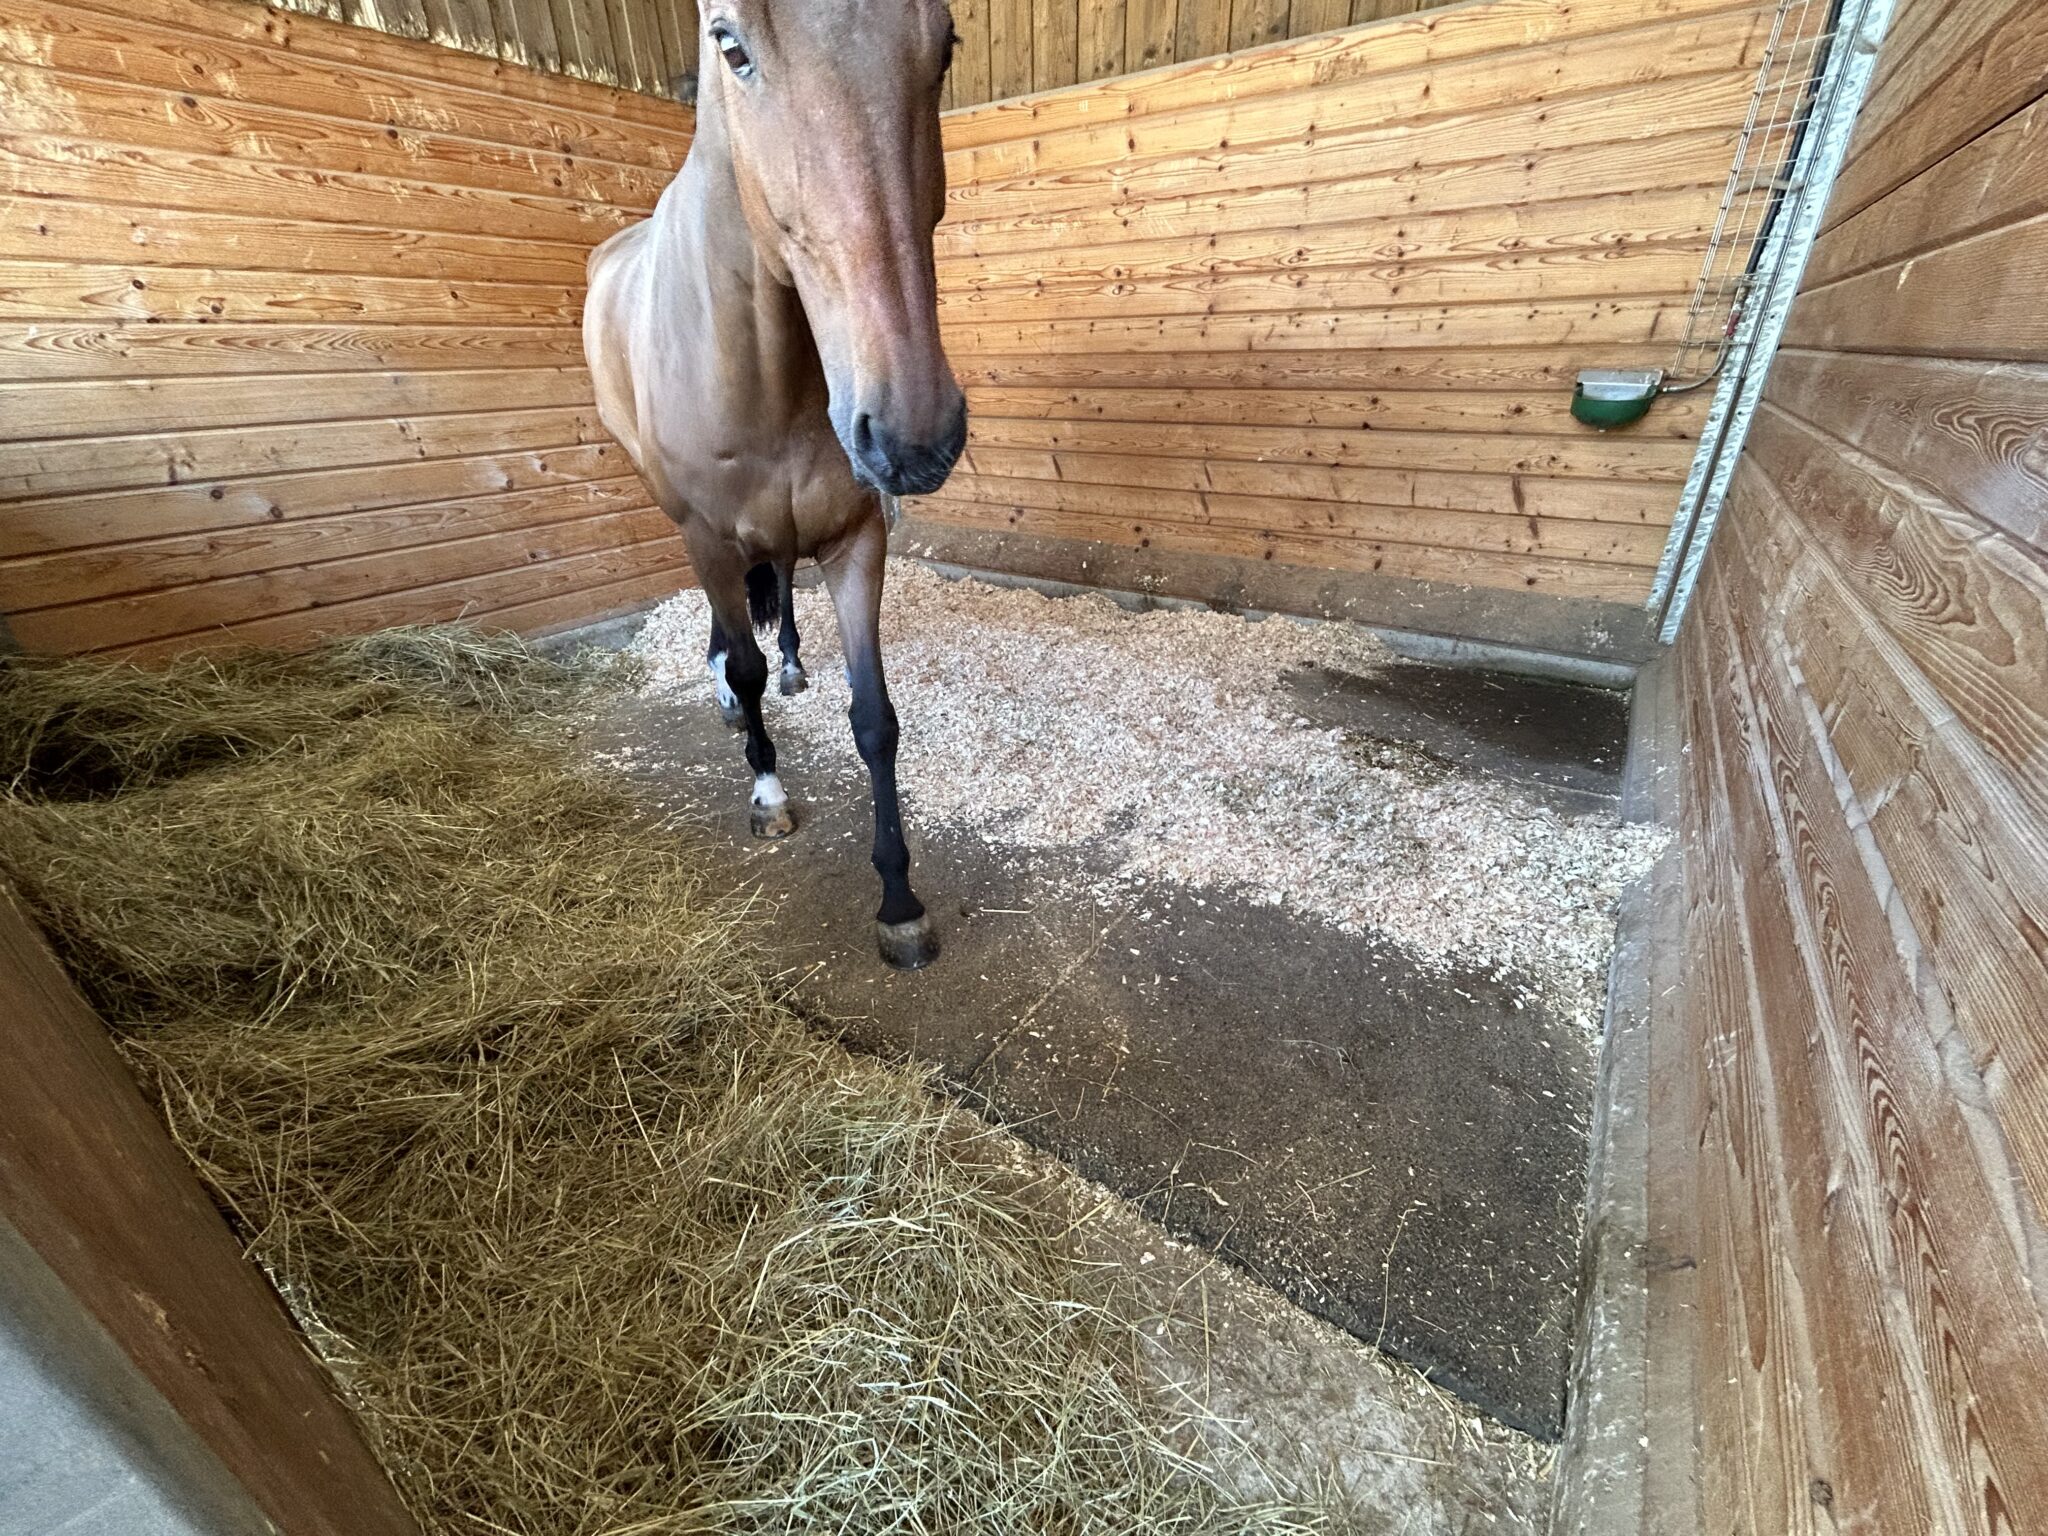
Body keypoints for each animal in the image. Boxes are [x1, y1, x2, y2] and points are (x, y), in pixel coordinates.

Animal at [584, 0, 966, 970]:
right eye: (730, 44)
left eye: (945, 42)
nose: (912, 434)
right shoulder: (710, 536)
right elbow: (745, 663)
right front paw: (766, 793)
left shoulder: (857, 539)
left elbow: (874, 718)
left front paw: (898, 899)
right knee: (731, 634)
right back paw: (726, 691)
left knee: (780, 587)